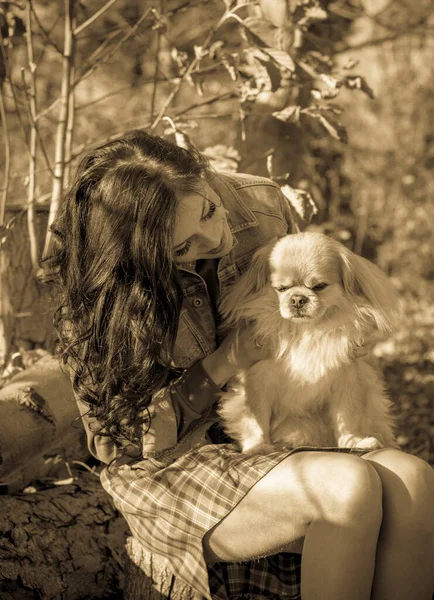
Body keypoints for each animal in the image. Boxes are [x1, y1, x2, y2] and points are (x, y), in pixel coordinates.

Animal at [219, 232, 398, 452]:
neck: (305, 331)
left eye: (319, 286)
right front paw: (258, 447)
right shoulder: (255, 381)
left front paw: (353, 442)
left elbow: (347, 417)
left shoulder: (346, 380)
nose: (297, 298)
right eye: (281, 289)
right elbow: (255, 417)